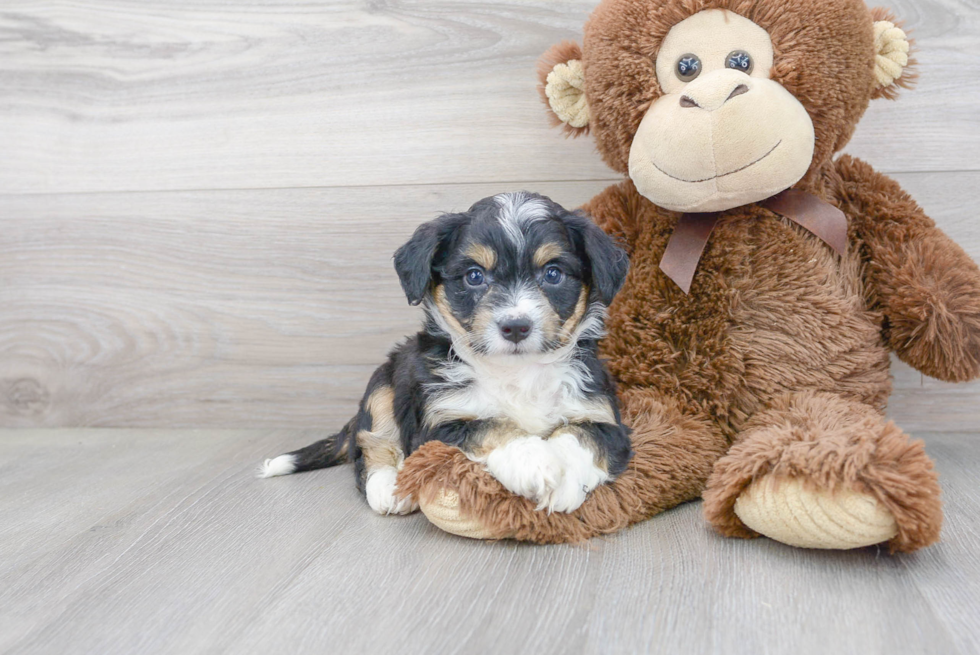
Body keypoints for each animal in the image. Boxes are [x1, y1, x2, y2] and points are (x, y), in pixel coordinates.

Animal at [256, 192, 632, 516]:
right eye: (474, 276)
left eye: (553, 273)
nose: (515, 327)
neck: (516, 372)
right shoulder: (440, 424)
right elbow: (491, 426)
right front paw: (534, 463)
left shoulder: (604, 417)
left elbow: (580, 437)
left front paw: (565, 483)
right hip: (383, 383)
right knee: (371, 443)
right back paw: (390, 488)